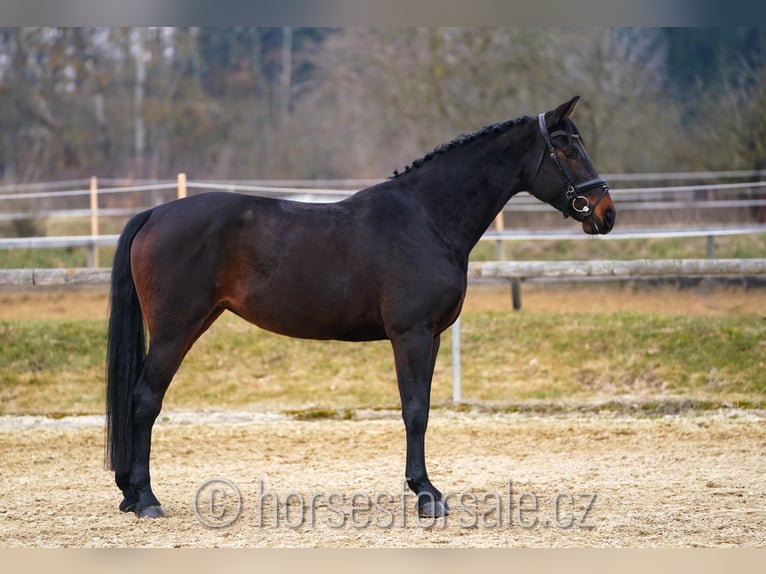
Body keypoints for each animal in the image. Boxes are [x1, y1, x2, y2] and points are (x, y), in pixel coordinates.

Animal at [105, 97, 616, 520]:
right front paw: (426, 495)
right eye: (567, 149)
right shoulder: (410, 334)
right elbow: (414, 410)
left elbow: (423, 406)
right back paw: (146, 499)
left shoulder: (431, 336)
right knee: (145, 399)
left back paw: (129, 494)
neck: (427, 217)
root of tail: (154, 214)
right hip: (175, 331)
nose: (605, 213)